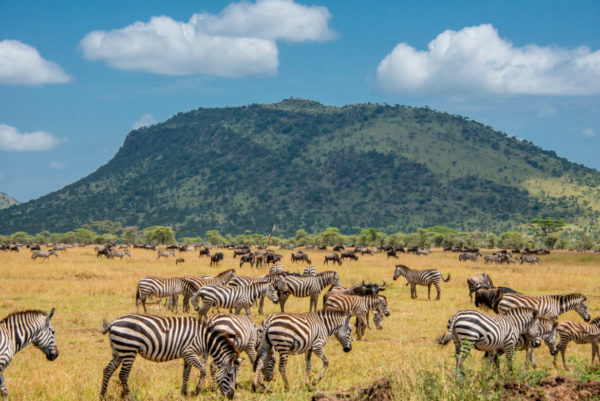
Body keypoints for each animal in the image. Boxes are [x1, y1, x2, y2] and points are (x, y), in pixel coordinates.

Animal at [99, 314, 241, 398]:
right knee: (123, 374)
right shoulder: (189, 352)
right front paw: (196, 391)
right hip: (129, 350)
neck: (205, 339)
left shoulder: (187, 356)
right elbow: (203, 370)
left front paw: (184, 393)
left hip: (118, 352)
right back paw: (129, 396)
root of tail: (113, 323)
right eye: (230, 375)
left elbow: (186, 374)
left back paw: (103, 395)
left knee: (107, 370)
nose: (231, 396)